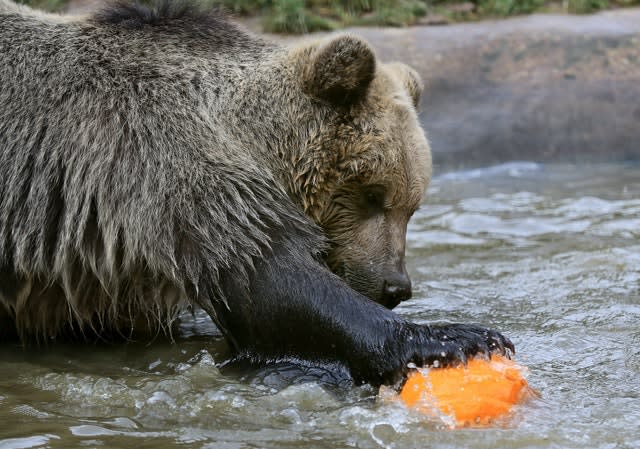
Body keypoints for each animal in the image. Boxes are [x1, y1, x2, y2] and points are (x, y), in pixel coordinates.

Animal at [0, 0, 510, 384]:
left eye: (411, 208)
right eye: (372, 195)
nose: (395, 286)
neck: (255, 143)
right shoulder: (161, 166)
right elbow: (268, 288)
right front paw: (459, 337)